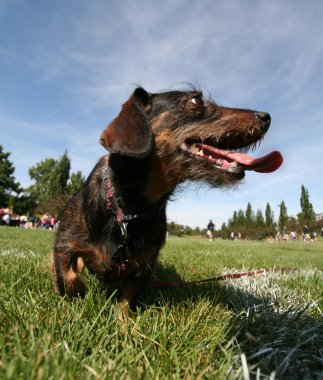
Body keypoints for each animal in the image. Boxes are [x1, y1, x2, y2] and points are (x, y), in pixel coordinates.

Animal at [53, 87, 284, 314]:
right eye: (196, 100)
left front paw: (124, 323)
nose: (266, 117)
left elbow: (126, 301)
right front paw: (77, 301)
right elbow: (69, 278)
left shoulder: (145, 266)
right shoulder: (63, 246)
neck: (128, 211)